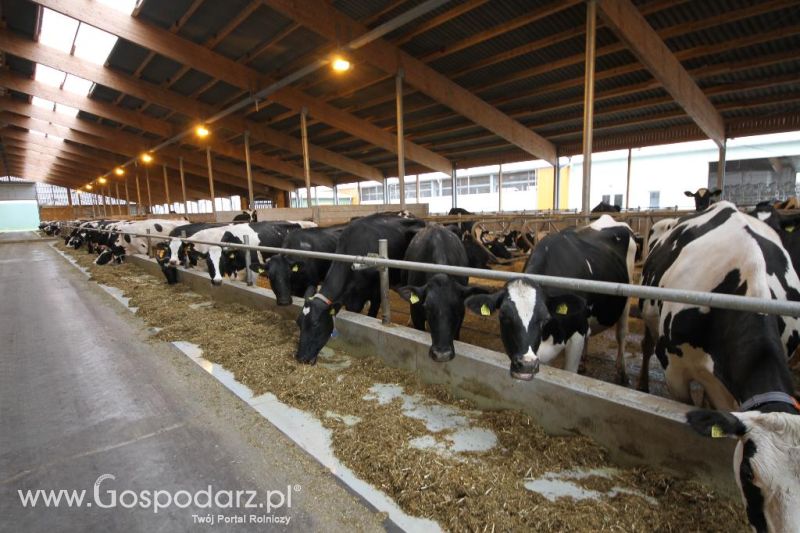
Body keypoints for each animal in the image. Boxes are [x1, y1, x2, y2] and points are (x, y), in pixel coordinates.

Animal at [296, 214, 428, 364]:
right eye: (299, 323)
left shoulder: (376, 294)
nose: (301, 358)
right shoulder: (352, 299)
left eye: (315, 324)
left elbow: (371, 314)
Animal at [466, 216, 636, 382]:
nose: (526, 365)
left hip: (627, 293)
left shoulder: (577, 334)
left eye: (545, 318)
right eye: (503, 316)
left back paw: (623, 372)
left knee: (622, 333)